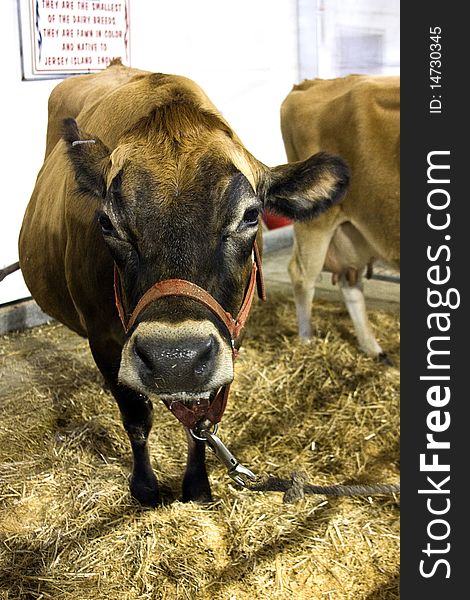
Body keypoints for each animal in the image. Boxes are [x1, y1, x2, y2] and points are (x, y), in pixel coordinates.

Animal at [18, 61, 348, 504]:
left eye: (251, 215)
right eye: (106, 222)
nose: (173, 358)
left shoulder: (228, 335)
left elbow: (201, 422)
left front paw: (196, 485)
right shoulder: (104, 338)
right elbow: (137, 418)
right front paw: (144, 488)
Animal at [280, 72, 398, 358]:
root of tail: (311, 83)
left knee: (350, 282)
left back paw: (374, 350)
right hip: (316, 220)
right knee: (301, 275)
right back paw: (306, 344)